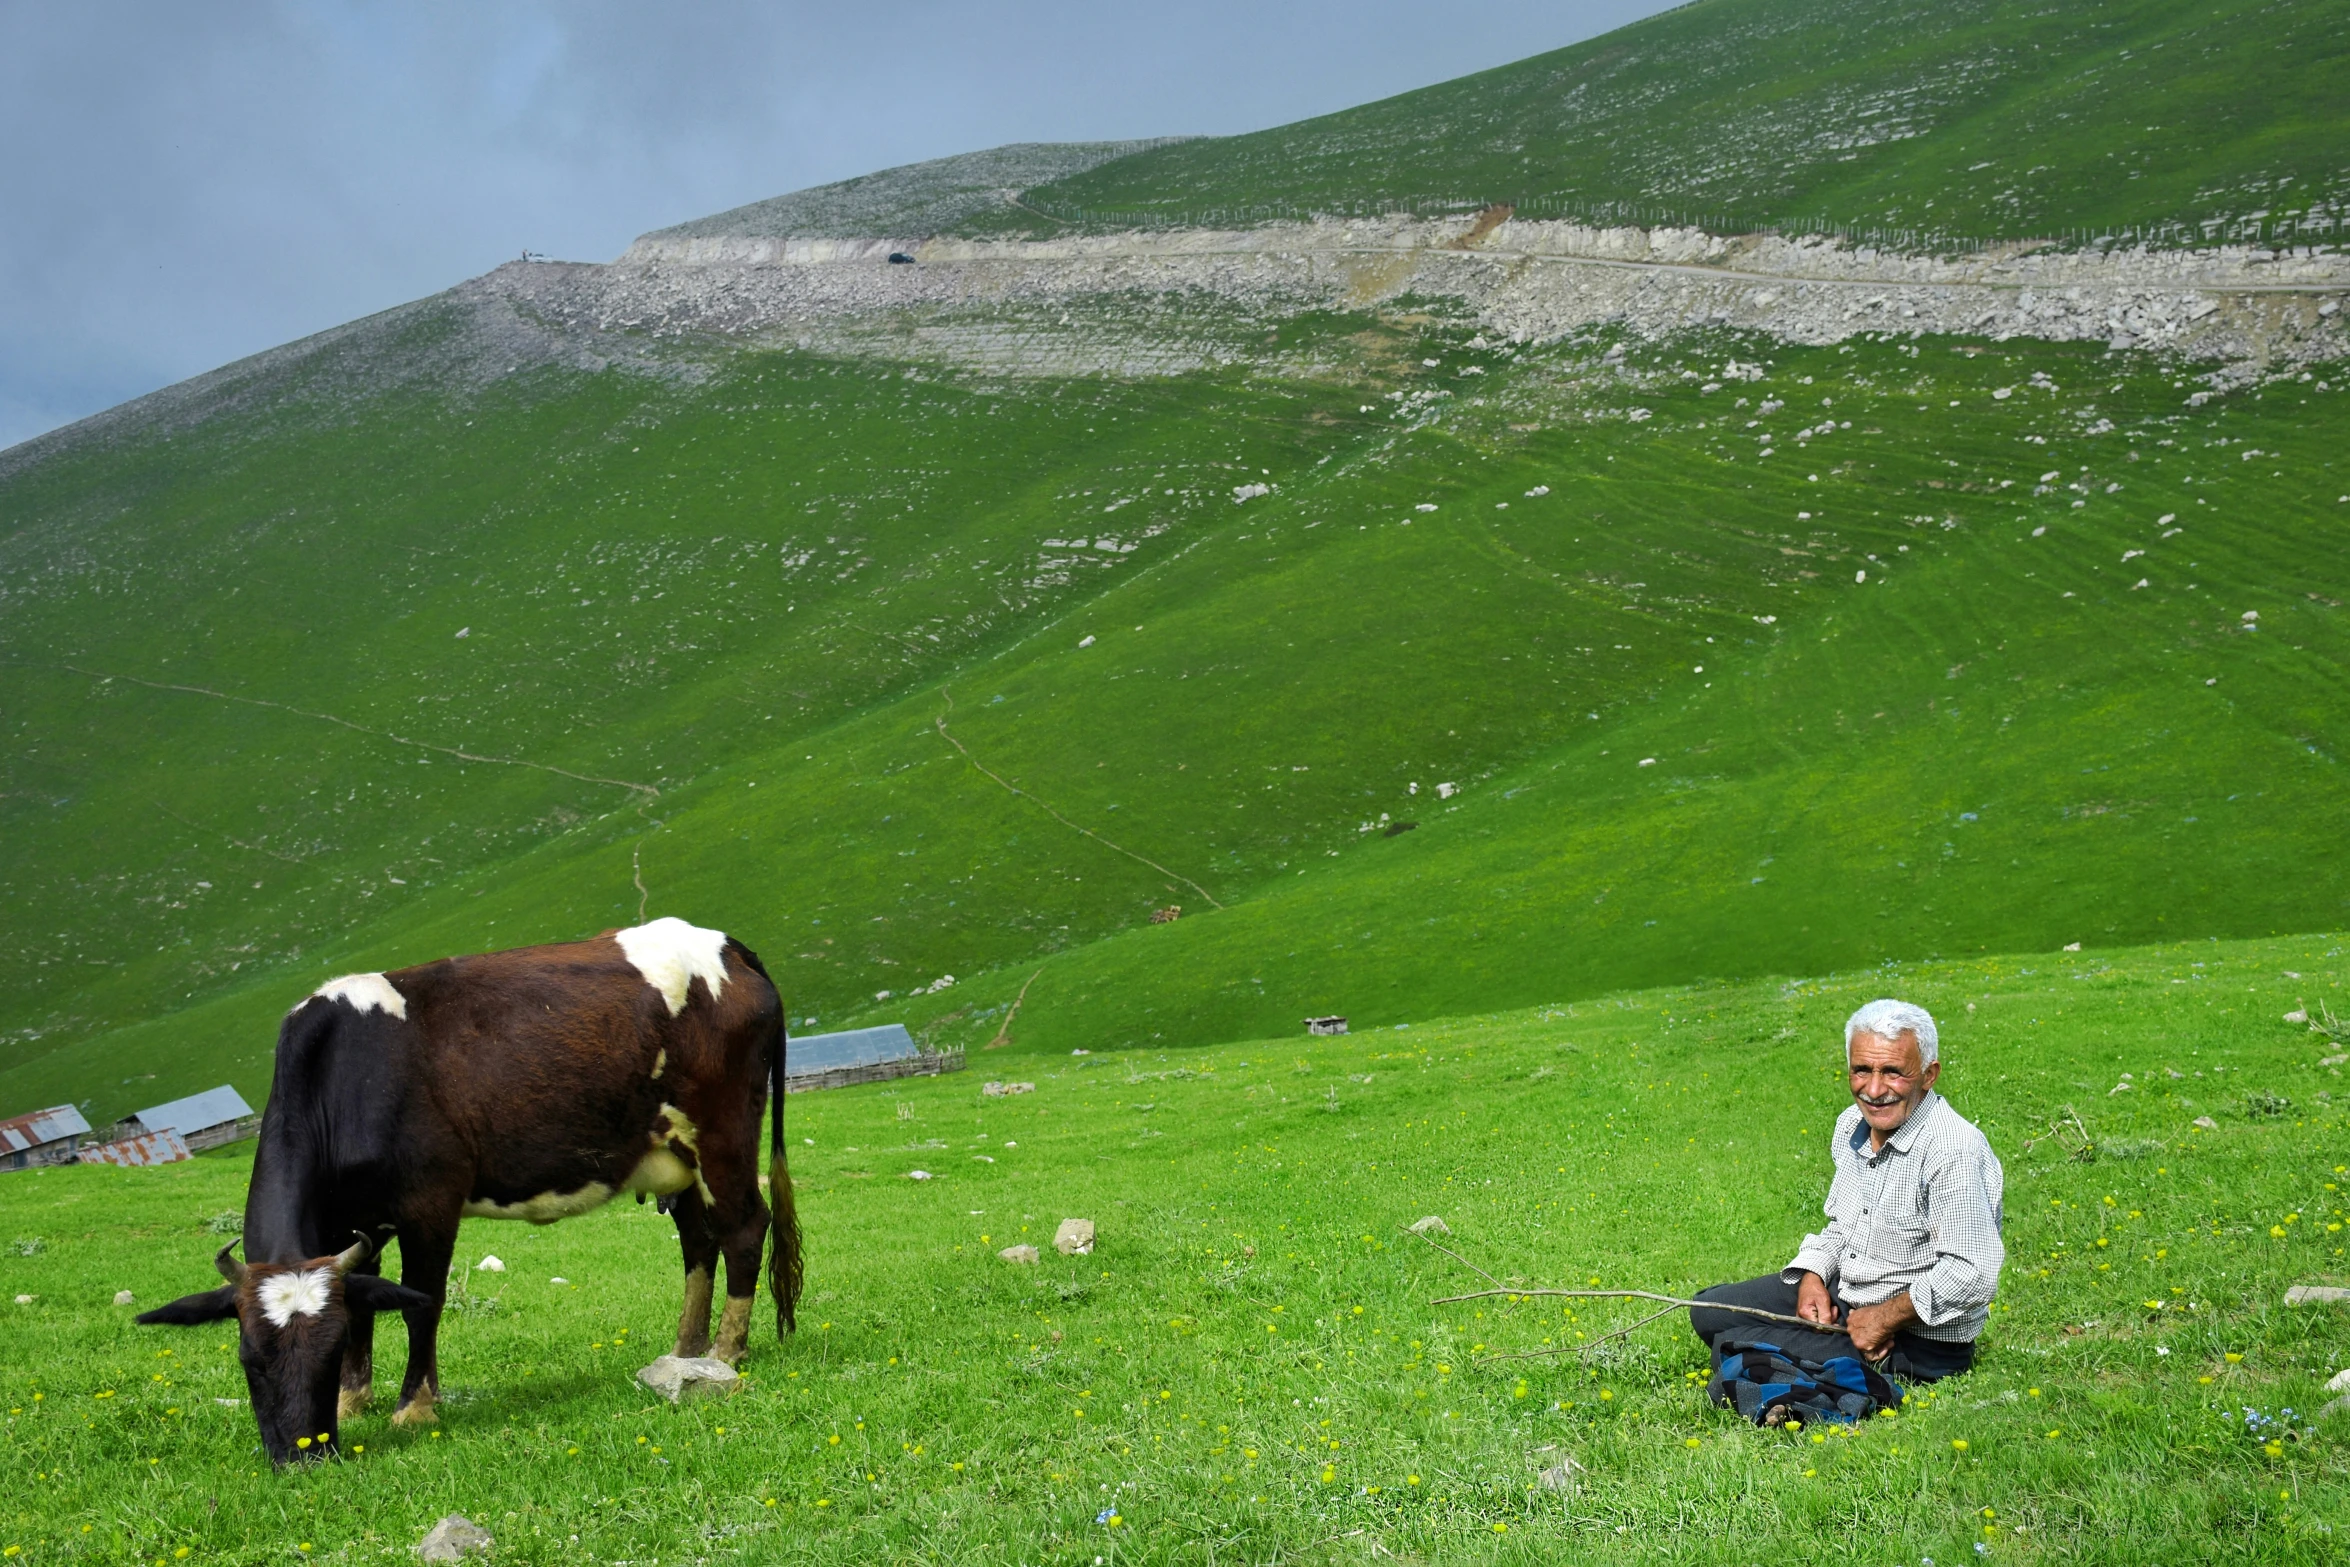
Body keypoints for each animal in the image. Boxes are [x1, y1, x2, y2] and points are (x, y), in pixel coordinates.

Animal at [137, 920, 798, 1475]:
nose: (303, 1455)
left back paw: (726, 1352)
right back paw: (685, 1353)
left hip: (724, 1136)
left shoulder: (430, 1202)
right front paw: (354, 1401)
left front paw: (414, 1406)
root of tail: (726, 945)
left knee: (744, 1227)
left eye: (323, 1356)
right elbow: (365, 1305)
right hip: (675, 1160)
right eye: (249, 1360)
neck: (346, 1076)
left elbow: (420, 1303)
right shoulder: (356, 1226)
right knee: (698, 1242)